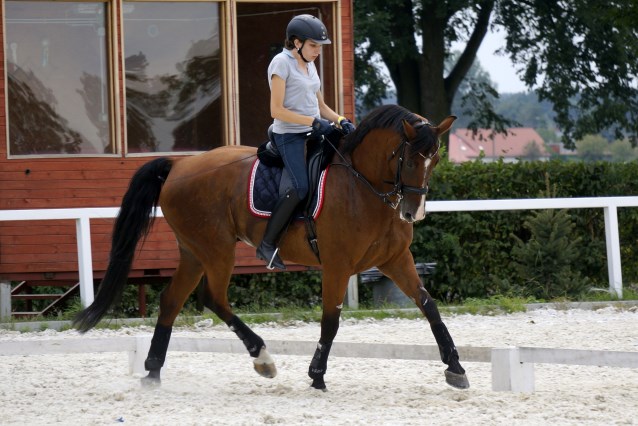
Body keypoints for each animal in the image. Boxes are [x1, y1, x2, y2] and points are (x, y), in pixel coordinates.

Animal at [74, 103, 470, 390]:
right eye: (408, 158)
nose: (413, 212)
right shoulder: (337, 265)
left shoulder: (395, 259)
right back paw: (262, 358)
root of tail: (178, 166)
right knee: (213, 297)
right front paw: (317, 375)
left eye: (435, 159)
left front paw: (456, 368)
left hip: (194, 251)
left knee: (171, 300)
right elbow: (331, 321)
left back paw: (153, 372)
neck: (363, 186)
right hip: (217, 248)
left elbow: (429, 306)